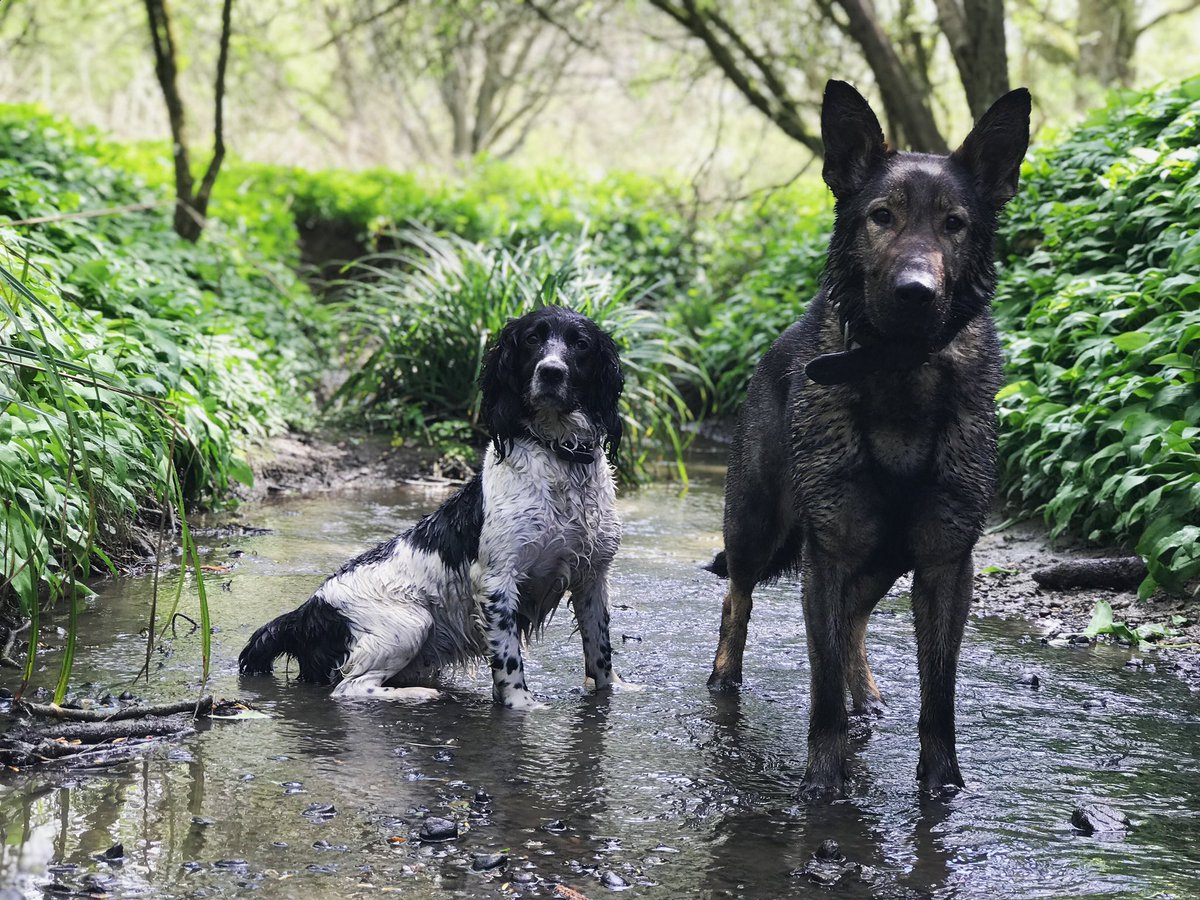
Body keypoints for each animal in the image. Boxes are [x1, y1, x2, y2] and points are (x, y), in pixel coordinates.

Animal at [710, 81, 1032, 801]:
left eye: (954, 223)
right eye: (882, 216)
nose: (916, 293)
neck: (900, 374)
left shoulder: (945, 562)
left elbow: (938, 696)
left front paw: (943, 786)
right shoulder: (828, 554)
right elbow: (822, 686)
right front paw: (824, 782)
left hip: (884, 557)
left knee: (855, 621)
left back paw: (871, 699)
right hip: (757, 527)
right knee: (737, 598)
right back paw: (724, 677)